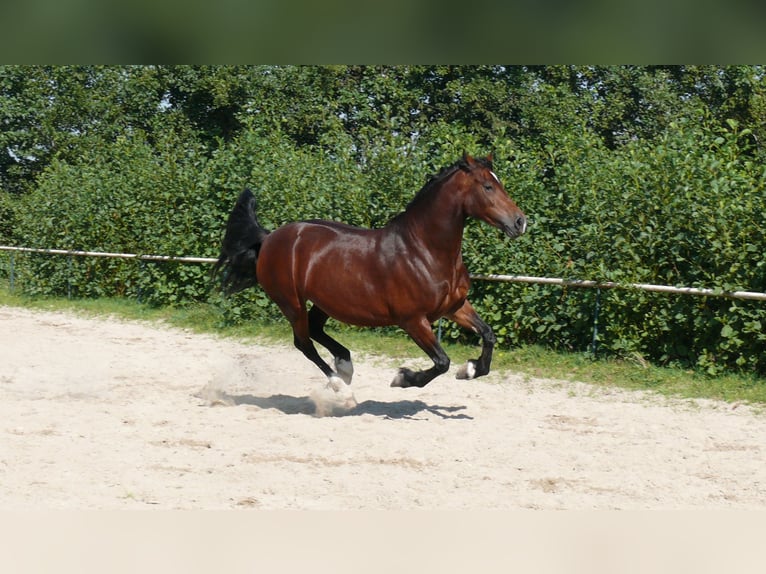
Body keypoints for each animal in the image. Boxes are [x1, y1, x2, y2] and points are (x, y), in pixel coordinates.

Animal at [216, 153, 528, 394]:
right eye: (488, 186)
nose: (520, 222)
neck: (424, 251)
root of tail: (269, 238)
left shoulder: (454, 307)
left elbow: (488, 335)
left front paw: (471, 369)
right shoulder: (413, 321)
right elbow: (442, 362)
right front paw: (403, 378)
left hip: (324, 301)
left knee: (315, 330)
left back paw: (345, 365)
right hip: (291, 303)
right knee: (303, 342)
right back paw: (338, 384)